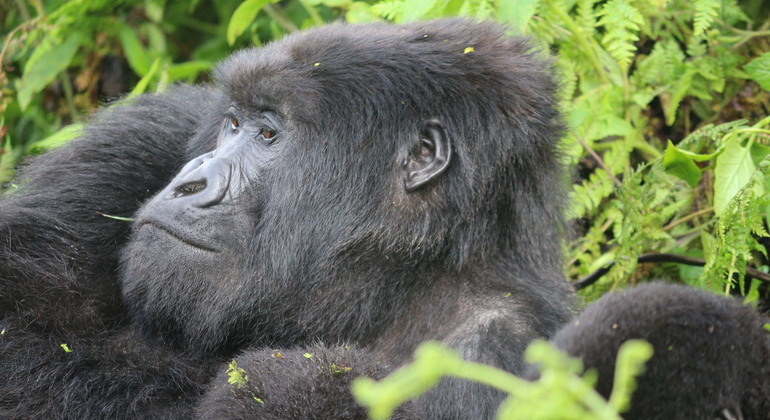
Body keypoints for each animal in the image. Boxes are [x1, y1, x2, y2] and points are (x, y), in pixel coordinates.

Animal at [0, 17, 764, 420]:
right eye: (233, 124)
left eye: (270, 136)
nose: (191, 183)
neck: (400, 286)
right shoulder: (158, 128)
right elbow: (24, 319)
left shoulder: (499, 344)